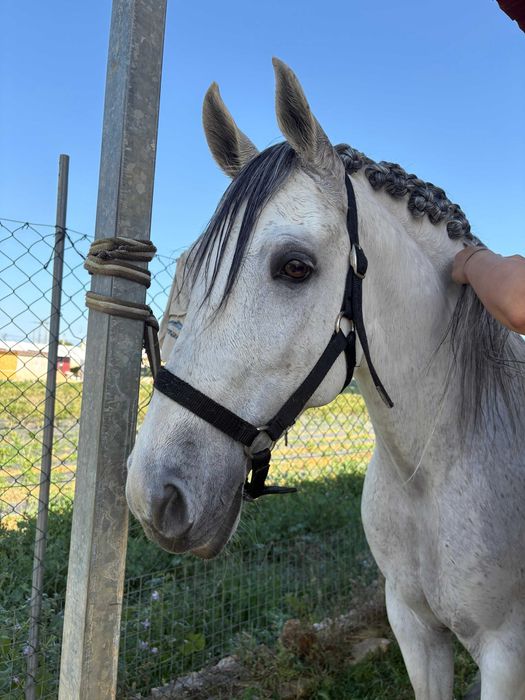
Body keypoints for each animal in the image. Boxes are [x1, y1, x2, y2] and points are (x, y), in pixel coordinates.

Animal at [126, 59, 525, 699]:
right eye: (189, 265)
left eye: (295, 266)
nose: (153, 495)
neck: (429, 471)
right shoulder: (413, 626)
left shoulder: (505, 652)